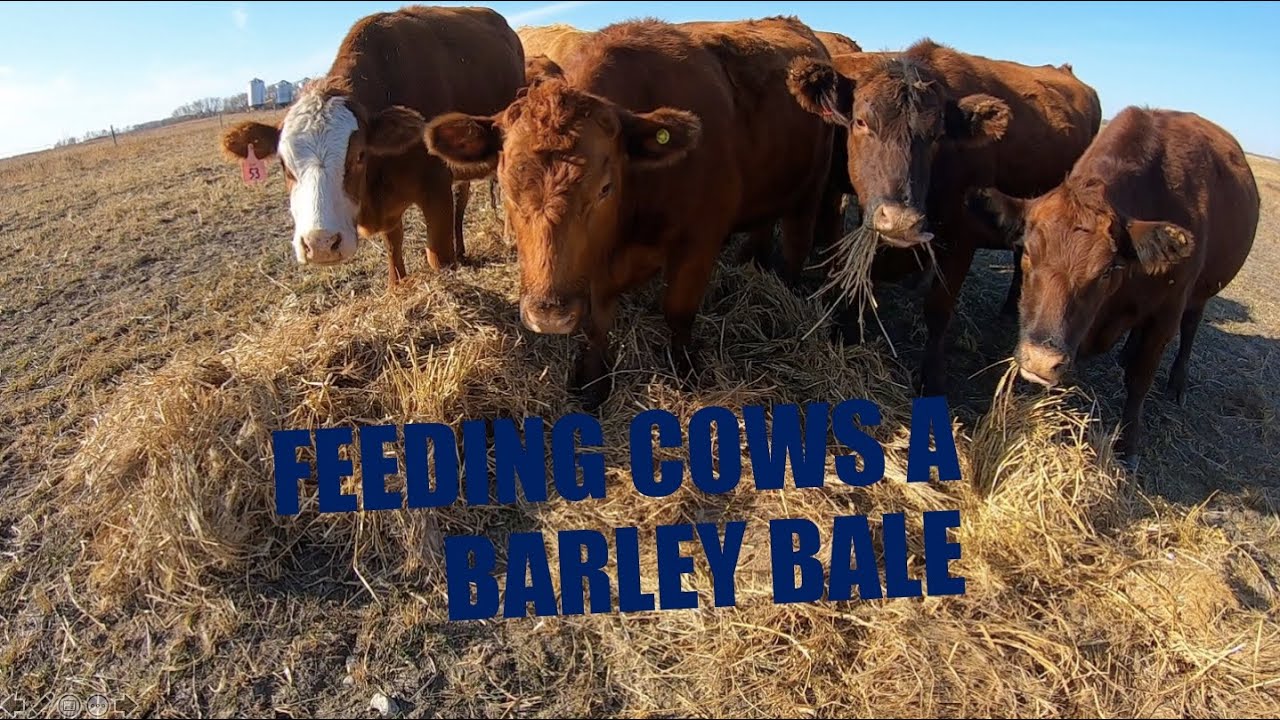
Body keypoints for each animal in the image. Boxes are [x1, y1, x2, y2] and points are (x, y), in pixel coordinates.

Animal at [218, 6, 524, 287]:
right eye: (284, 164)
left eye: (358, 156)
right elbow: (394, 252)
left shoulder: (436, 189)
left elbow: (438, 257)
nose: (320, 244)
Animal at [424, 17, 840, 410]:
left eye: (605, 188)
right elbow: (596, 324)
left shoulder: (698, 245)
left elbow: (678, 312)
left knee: (797, 245)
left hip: (811, 192)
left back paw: (786, 292)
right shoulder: (593, 267)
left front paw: (684, 372)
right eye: (507, 186)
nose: (548, 314)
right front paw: (593, 384)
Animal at [786, 38, 1102, 397]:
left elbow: (938, 310)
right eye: (861, 122)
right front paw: (847, 331)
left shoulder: (961, 237)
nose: (900, 219)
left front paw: (932, 377)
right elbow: (863, 277)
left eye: (937, 135)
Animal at [968, 106, 1259, 462]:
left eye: (1107, 270)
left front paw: (1128, 443)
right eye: (1027, 253)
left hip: (1202, 292)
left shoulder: (1166, 314)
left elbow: (1140, 377)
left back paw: (1177, 382)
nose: (1040, 360)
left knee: (1190, 327)